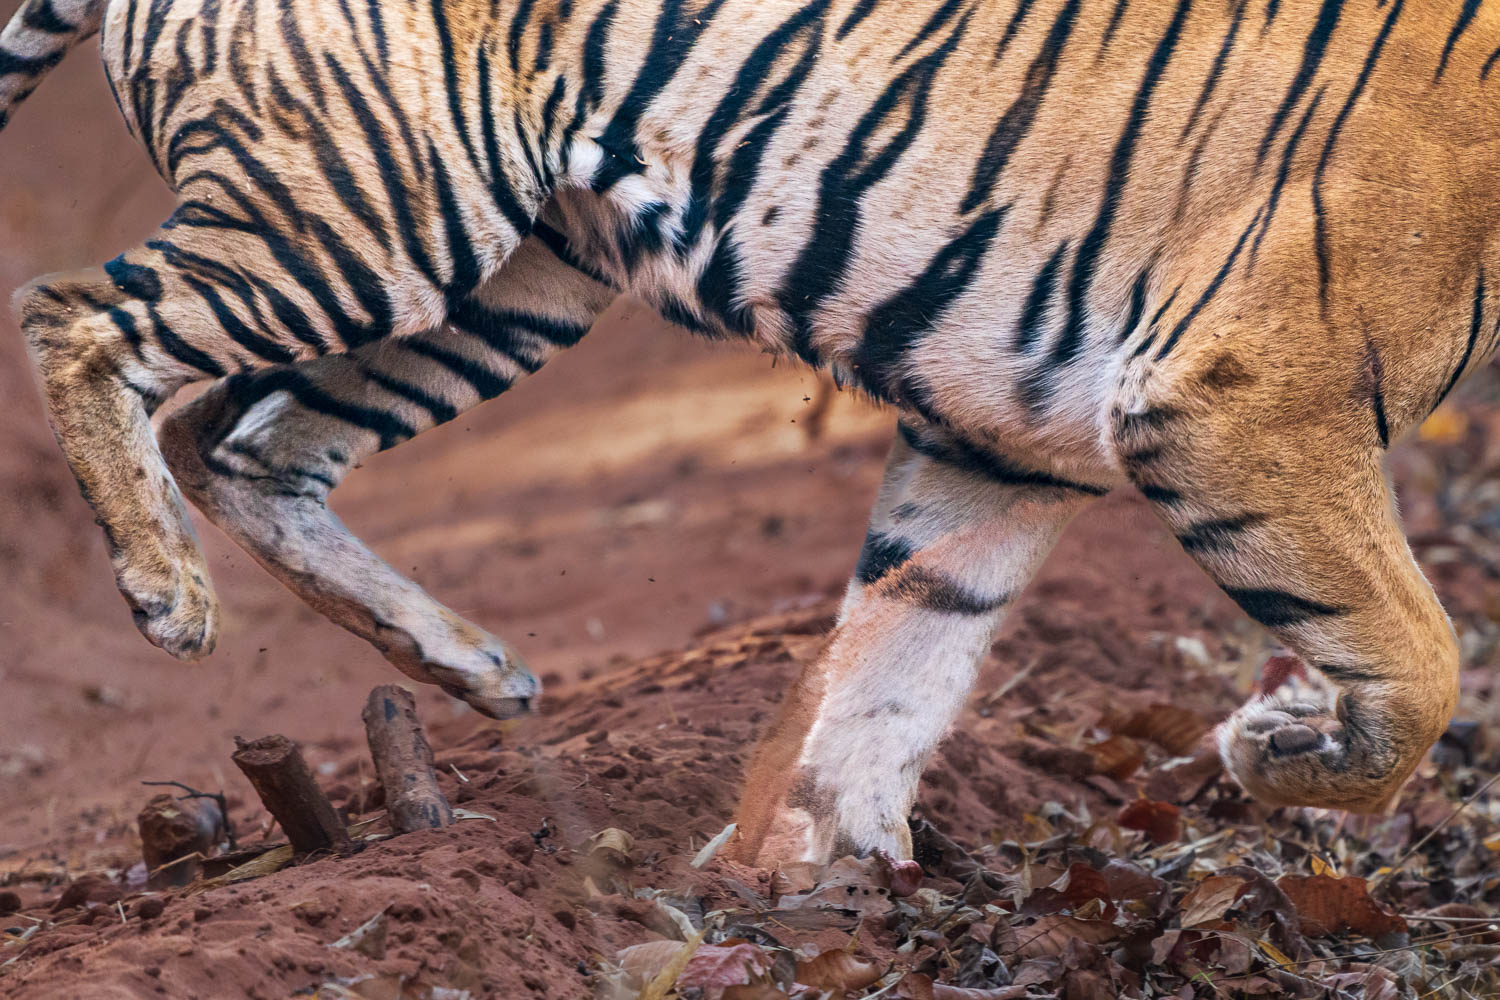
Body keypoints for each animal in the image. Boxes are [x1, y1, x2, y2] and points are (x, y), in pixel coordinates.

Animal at [1, 0, 1491, 866]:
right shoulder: (1240, 402)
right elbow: (1425, 658)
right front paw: (1274, 745)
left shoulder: (1007, 441)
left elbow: (900, 658)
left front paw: (808, 879)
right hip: (381, 210)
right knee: (80, 317)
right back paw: (168, 593)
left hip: (511, 278)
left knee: (239, 435)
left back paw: (475, 667)